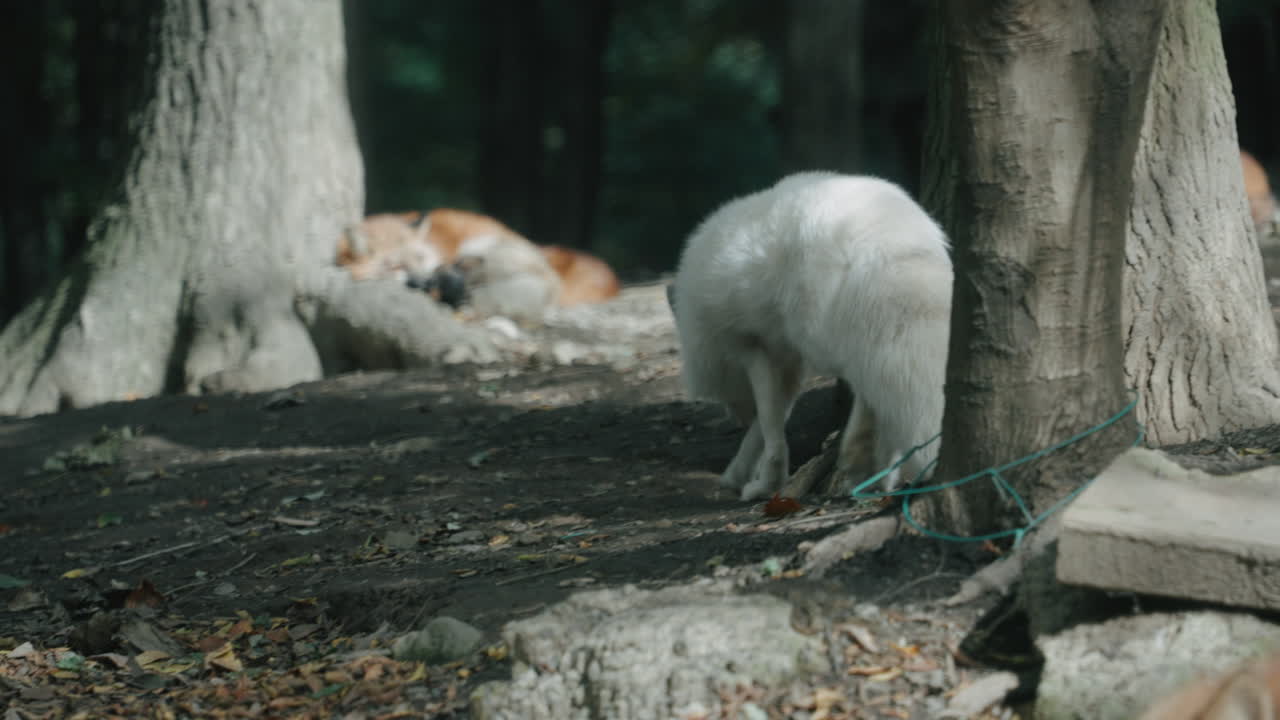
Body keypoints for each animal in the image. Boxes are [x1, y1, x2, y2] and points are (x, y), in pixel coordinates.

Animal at [669, 172, 951, 502]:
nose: (734, 418)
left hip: (821, 337)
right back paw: (875, 469)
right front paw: (738, 474)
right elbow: (770, 423)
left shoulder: (753, 347)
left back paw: (860, 458)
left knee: (863, 381)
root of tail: (884, 239)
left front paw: (765, 484)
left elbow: (770, 425)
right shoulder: (787, 361)